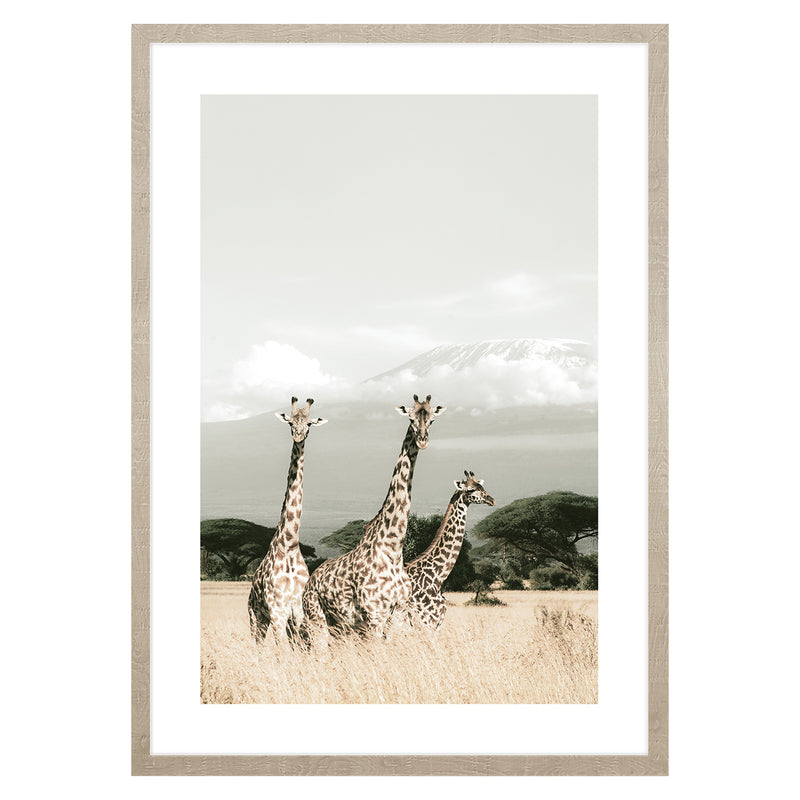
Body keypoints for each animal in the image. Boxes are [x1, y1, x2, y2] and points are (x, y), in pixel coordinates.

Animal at [248, 397, 327, 643]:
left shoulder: (298, 610)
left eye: (309, 424)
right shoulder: (277, 611)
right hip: (256, 617)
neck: (290, 543)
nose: (299, 436)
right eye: (291, 422)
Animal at [301, 394, 445, 643]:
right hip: (317, 619)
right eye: (411, 418)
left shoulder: (398, 613)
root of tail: (310, 581)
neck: (393, 548)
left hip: (340, 626)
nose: (422, 440)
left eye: (432, 419)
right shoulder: (374, 615)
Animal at [406, 470, 495, 630]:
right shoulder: (426, 621)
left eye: (482, 487)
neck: (437, 578)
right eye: (470, 490)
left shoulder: (435, 623)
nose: (491, 500)